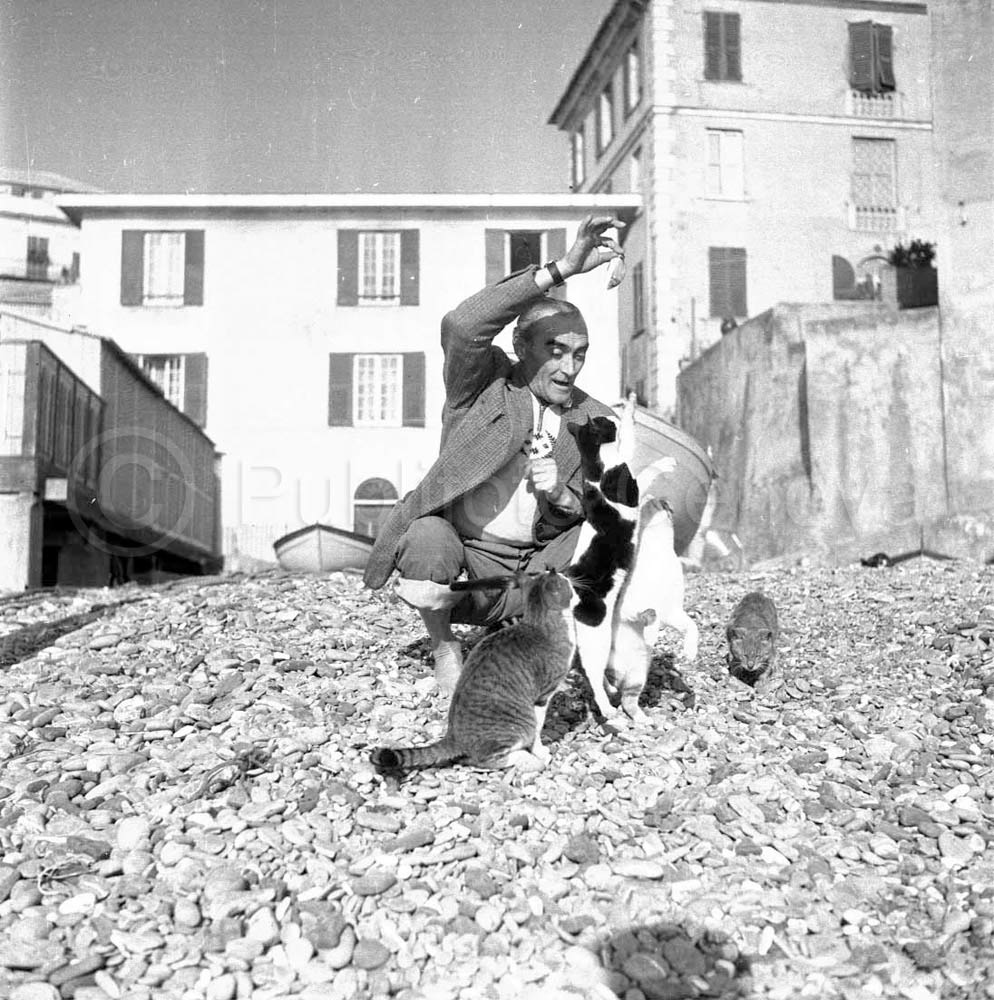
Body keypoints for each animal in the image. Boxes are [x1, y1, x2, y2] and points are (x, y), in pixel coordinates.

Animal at [370, 569, 578, 772]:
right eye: (567, 582)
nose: (570, 576)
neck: (537, 622)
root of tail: (452, 736)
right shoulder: (543, 695)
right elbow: (538, 728)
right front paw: (540, 751)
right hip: (518, 726)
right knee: (483, 759)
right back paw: (526, 759)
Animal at [605, 496, 699, 725]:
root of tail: (622, 675)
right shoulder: (629, 603)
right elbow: (643, 613)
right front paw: (649, 629)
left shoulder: (673, 610)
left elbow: (691, 626)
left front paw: (690, 652)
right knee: (605, 681)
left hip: (638, 676)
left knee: (628, 700)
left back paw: (643, 719)